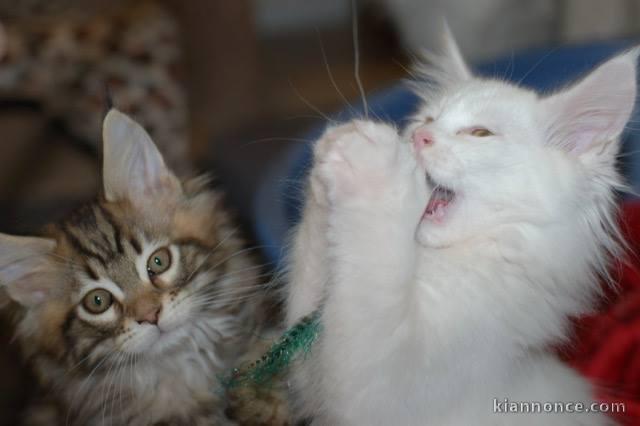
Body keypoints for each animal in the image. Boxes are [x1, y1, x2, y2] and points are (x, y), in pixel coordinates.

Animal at [288, 28, 636, 424]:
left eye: (480, 133)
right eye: (425, 120)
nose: (418, 138)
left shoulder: (388, 387)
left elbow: (371, 286)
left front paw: (371, 162)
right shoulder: (312, 372)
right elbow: (315, 280)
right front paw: (330, 157)